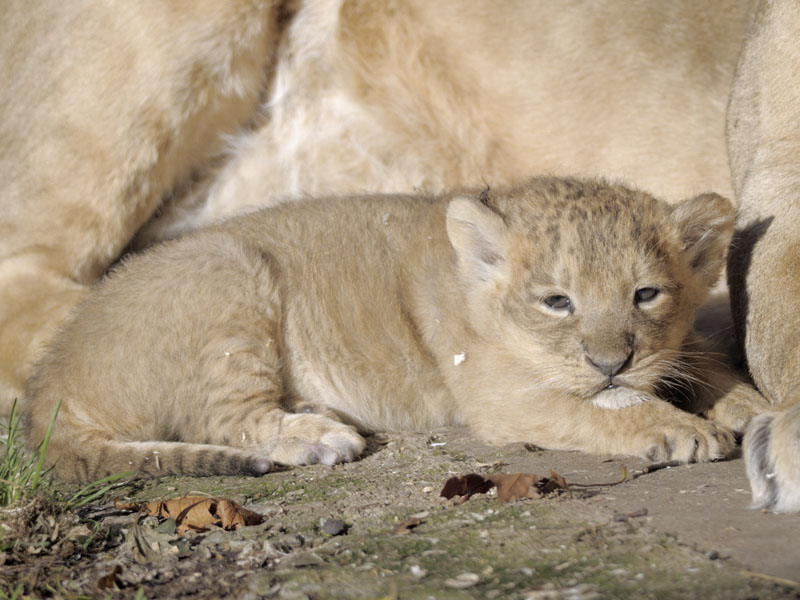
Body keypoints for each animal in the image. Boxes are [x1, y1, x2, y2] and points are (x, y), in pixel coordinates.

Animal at [2, 0, 798, 510]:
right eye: (557, 301)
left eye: (646, 294)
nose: (613, 359)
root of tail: (58, 382)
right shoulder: (500, 395)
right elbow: (598, 406)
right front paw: (679, 427)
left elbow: (710, 360)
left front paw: (740, 404)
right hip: (216, 259)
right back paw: (317, 432)